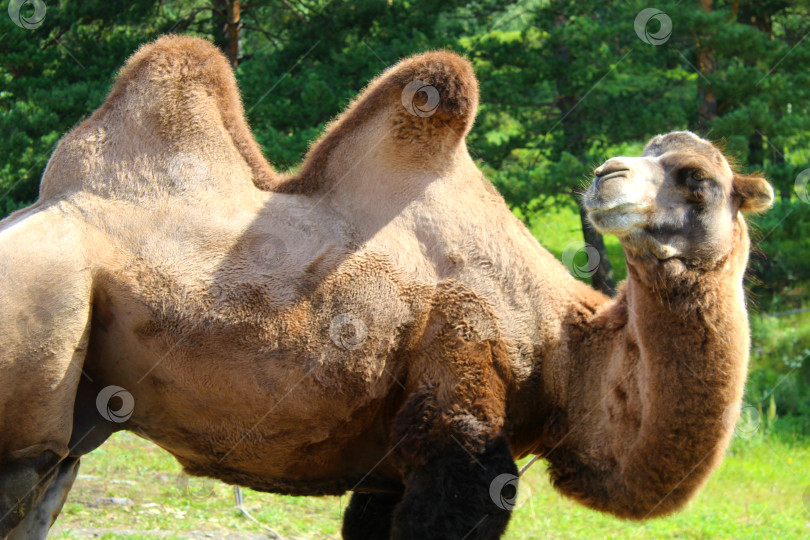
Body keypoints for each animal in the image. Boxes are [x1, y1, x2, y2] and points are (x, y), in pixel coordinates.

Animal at [0, 35, 772, 536]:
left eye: (695, 178)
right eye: (668, 167)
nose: (606, 176)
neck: (559, 348)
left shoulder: (390, 467)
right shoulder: (459, 425)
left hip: (80, 420)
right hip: (36, 361)